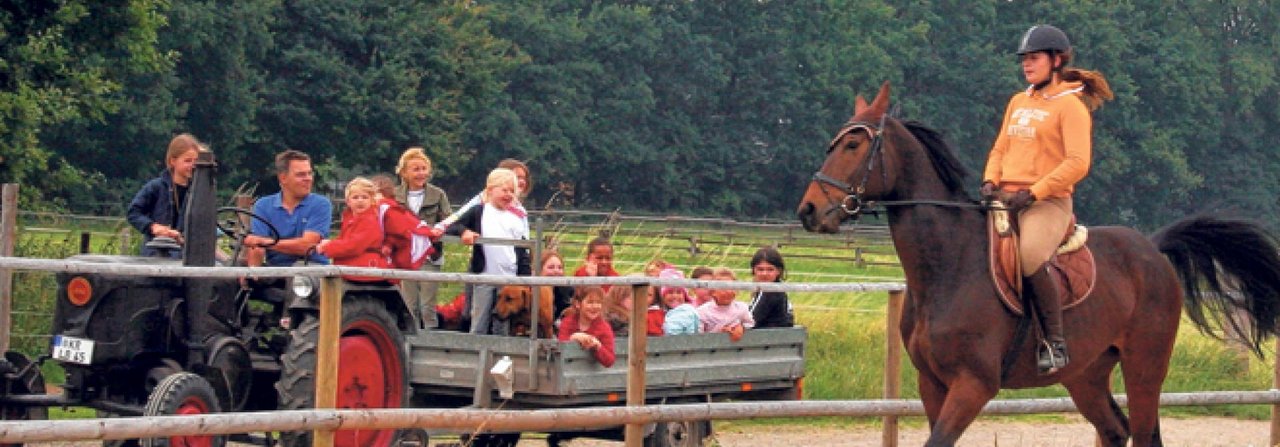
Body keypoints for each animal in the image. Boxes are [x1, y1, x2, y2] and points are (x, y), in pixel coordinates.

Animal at [793, 81, 1280, 443]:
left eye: (853, 145)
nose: (809, 211)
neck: (947, 267)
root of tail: (1152, 249)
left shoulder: (974, 385)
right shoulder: (932, 383)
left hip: (1145, 365)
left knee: (1142, 433)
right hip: (1086, 374)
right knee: (1114, 430)